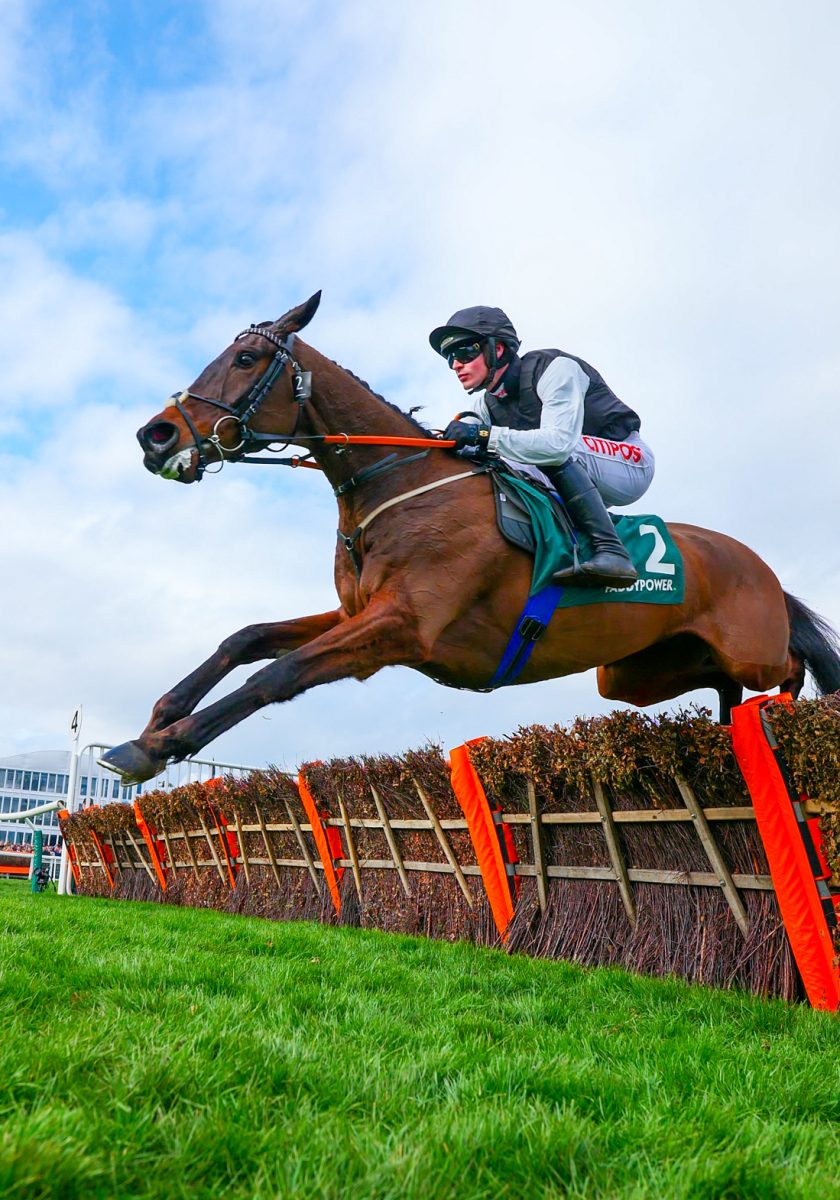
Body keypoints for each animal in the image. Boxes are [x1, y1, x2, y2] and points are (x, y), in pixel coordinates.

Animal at [100, 292, 840, 784]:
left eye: (247, 358)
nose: (154, 436)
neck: (401, 482)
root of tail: (764, 570)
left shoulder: (401, 627)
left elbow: (277, 673)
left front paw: (156, 747)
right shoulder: (357, 611)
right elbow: (246, 639)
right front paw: (156, 722)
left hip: (747, 650)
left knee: (788, 668)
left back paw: (786, 717)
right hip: (631, 673)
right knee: (723, 686)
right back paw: (734, 728)